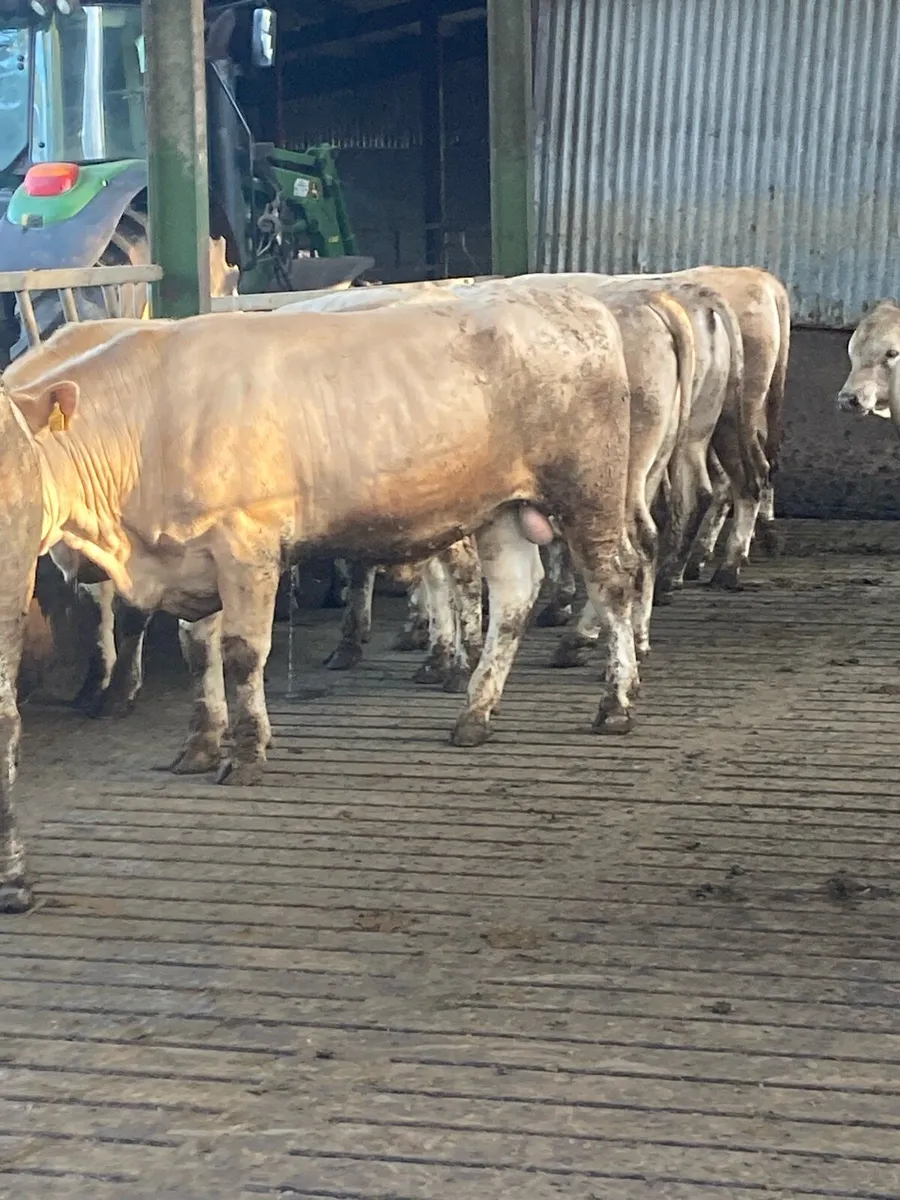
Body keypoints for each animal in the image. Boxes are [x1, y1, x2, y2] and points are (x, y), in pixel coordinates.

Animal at [6, 284, 637, 816]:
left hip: (590, 490)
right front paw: (200, 747)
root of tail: (572, 301)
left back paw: (616, 703)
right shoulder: (190, 560)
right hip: (502, 508)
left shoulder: (247, 546)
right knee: (512, 598)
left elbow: (242, 654)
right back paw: (475, 714)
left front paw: (247, 754)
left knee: (614, 582)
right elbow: (197, 653)